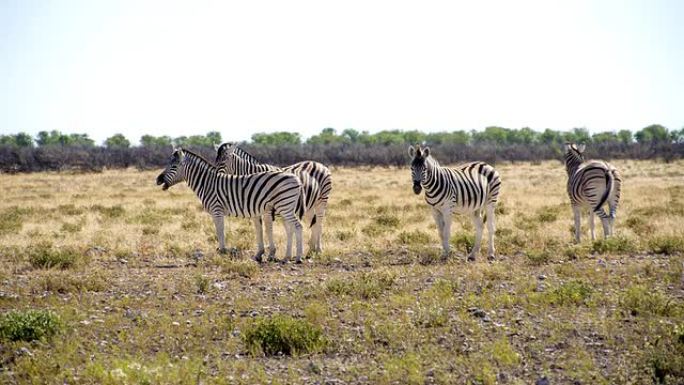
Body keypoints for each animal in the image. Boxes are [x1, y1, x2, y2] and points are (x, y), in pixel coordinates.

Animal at [156, 147, 306, 260]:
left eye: (174, 166)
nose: (158, 180)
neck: (207, 183)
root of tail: (297, 179)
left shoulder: (217, 210)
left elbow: (220, 231)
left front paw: (222, 251)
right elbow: (219, 231)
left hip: (284, 206)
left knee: (298, 227)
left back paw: (298, 257)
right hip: (284, 207)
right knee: (291, 228)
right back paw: (287, 257)